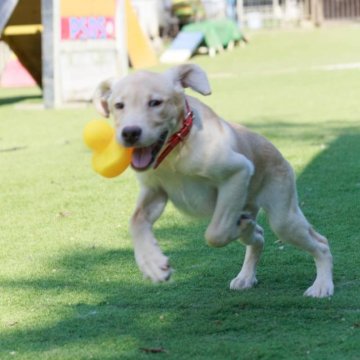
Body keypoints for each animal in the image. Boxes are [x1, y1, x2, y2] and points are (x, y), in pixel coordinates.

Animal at [94, 64, 334, 298]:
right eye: (119, 105)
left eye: (155, 102)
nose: (130, 133)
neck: (177, 150)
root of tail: (278, 153)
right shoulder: (155, 191)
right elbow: (136, 221)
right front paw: (152, 263)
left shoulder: (237, 172)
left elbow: (215, 234)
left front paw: (240, 227)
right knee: (258, 238)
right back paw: (246, 275)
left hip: (283, 217)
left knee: (320, 243)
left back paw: (321, 285)